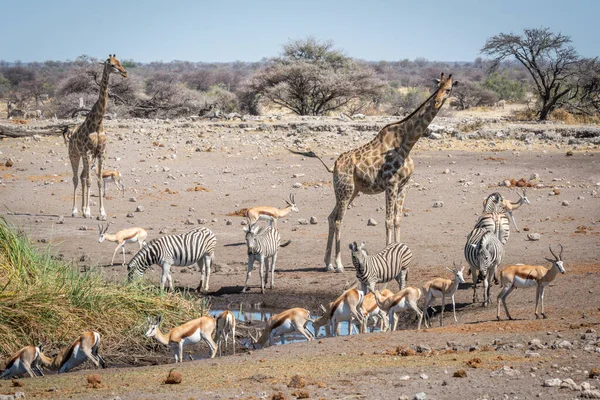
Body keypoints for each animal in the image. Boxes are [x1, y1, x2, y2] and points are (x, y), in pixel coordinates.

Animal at [67, 54, 127, 219]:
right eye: (112, 65)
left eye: (120, 62)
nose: (125, 73)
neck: (98, 122)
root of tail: (70, 136)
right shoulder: (88, 152)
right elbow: (89, 180)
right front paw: (88, 211)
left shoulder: (101, 153)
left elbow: (99, 180)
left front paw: (101, 213)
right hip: (74, 154)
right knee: (76, 178)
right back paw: (75, 210)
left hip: (85, 157)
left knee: (82, 176)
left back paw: (82, 209)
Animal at [296, 72, 460, 272]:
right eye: (437, 87)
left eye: (449, 89)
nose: (436, 102)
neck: (407, 145)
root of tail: (334, 166)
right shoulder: (391, 184)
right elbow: (388, 220)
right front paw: (389, 255)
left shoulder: (404, 185)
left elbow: (397, 219)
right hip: (345, 189)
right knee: (338, 220)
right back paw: (339, 264)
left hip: (351, 191)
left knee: (330, 217)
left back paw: (327, 263)